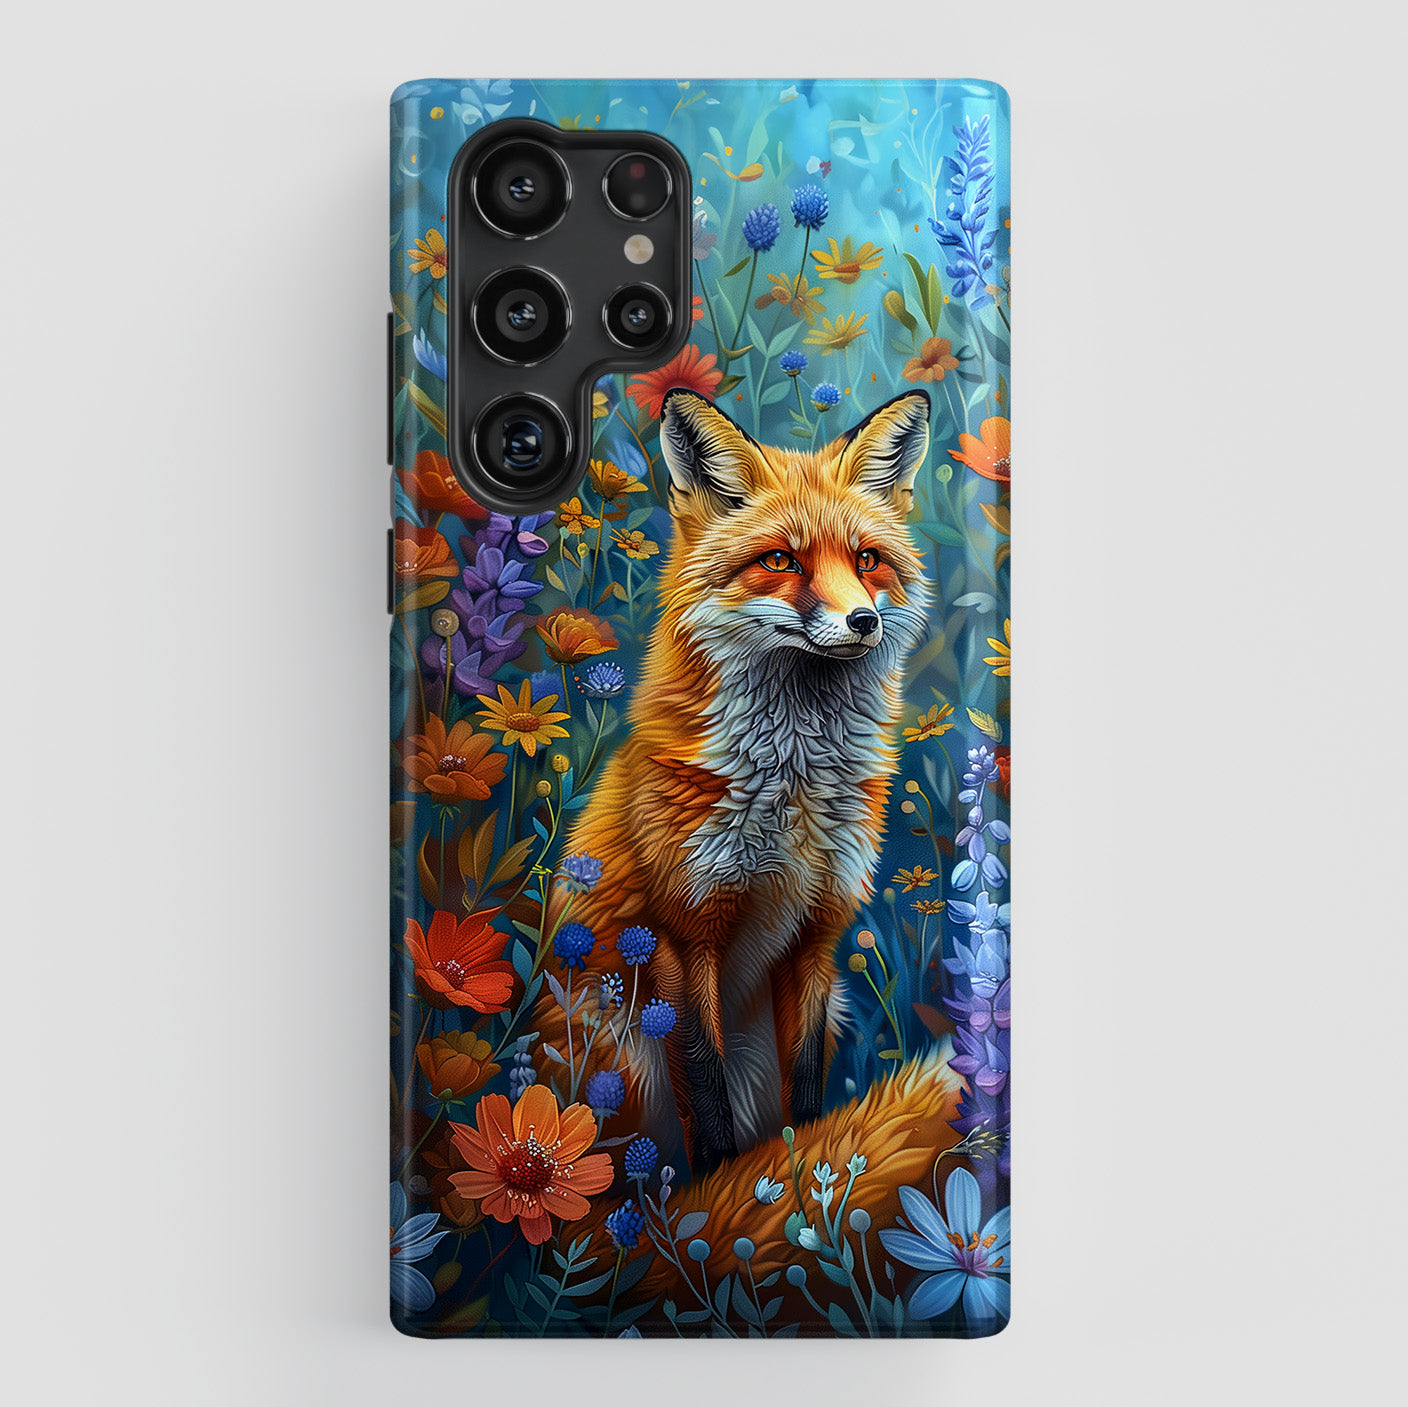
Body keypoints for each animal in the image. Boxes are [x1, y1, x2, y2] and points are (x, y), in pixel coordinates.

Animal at [535, 386, 933, 1175]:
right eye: (780, 560)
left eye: (868, 560)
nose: (863, 620)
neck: (794, 789)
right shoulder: (682, 935)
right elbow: (706, 1089)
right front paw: (718, 1189)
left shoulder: (818, 933)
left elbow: (804, 1085)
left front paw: (804, 1171)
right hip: (619, 1060)